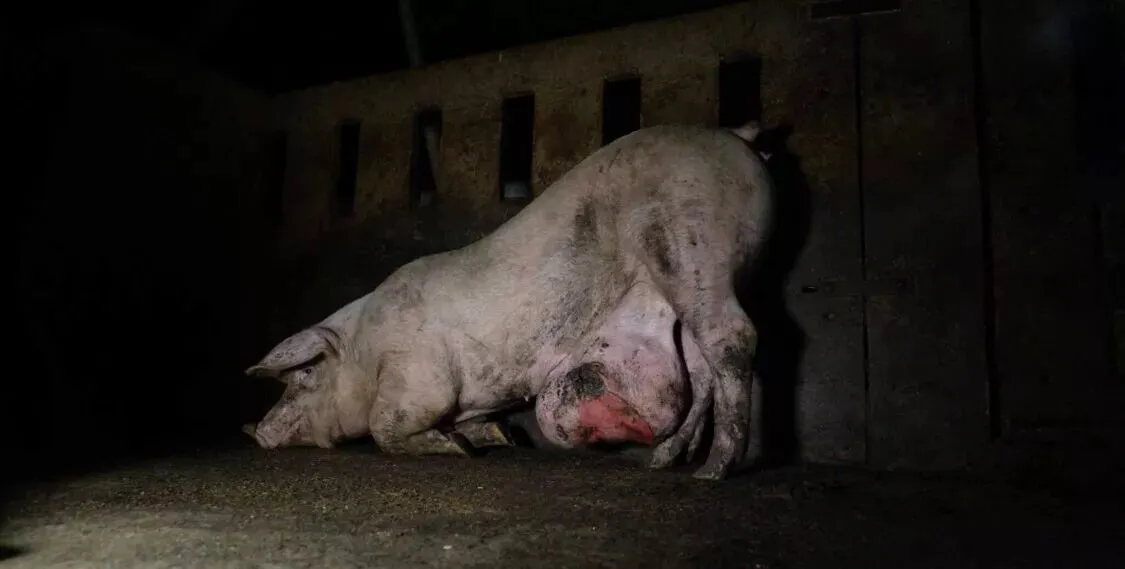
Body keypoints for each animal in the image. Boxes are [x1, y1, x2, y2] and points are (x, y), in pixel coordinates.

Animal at [245, 120, 774, 479]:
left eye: (303, 376)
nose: (256, 432)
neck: (363, 351)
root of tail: (737, 137)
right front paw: (497, 436)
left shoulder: (419, 371)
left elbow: (385, 424)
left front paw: (459, 450)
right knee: (702, 369)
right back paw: (663, 463)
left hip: (692, 244)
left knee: (734, 337)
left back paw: (712, 471)